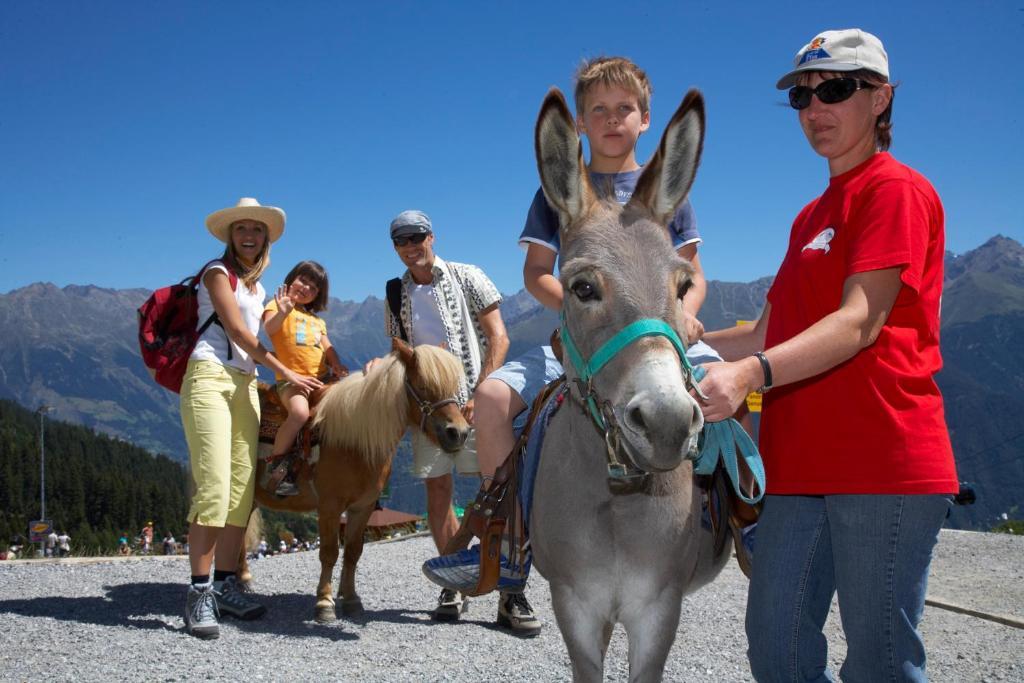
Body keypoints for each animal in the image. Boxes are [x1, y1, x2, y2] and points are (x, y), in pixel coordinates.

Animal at [239, 337, 468, 626]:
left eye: (454, 386)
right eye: (424, 386)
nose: (459, 433)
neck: (352, 438)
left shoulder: (363, 507)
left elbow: (352, 552)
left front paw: (350, 600)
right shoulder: (329, 507)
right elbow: (329, 553)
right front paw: (324, 603)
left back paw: (242, 580)